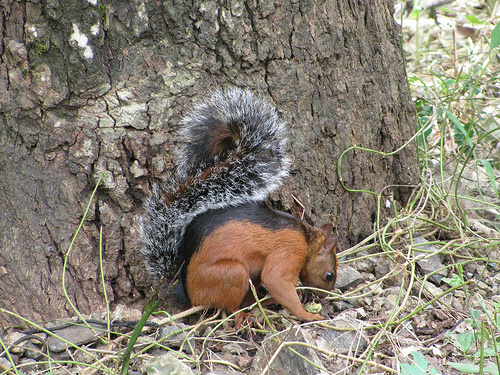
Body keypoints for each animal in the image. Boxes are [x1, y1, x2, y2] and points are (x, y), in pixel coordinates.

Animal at [139, 88, 338, 324]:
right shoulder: (290, 249)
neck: (307, 237)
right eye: (329, 275)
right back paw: (243, 315)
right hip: (232, 273)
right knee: (230, 305)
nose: (324, 296)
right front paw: (308, 314)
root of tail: (185, 290)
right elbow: (276, 280)